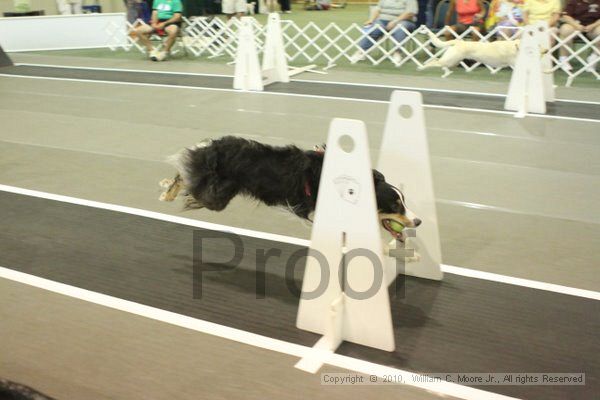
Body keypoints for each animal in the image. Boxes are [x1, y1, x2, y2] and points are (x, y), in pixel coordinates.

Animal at [159, 136, 422, 242]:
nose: (418, 221)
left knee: (187, 173)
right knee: (187, 177)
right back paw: (168, 192)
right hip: (217, 196)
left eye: (404, 201)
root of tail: (214, 148)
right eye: (395, 205)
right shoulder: (310, 210)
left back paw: (167, 188)